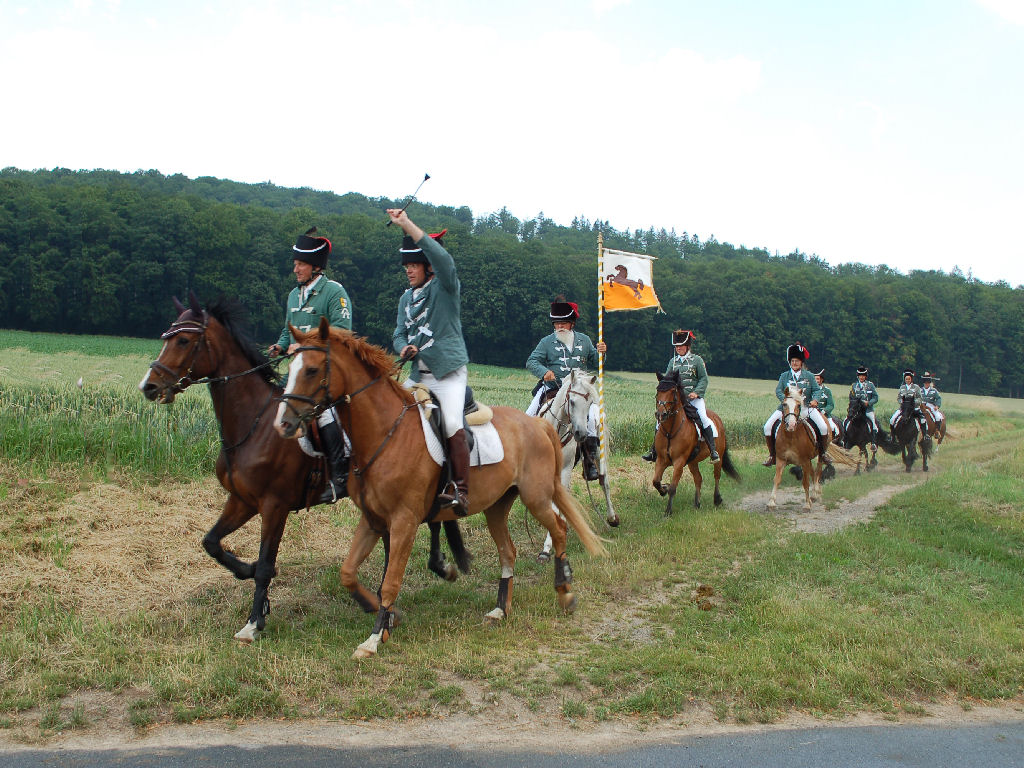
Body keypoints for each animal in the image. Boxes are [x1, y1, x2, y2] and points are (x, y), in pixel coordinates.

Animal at [138, 293, 469, 644]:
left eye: (183, 340)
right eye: (168, 336)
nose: (149, 386)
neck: (254, 424)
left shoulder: (274, 505)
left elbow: (266, 563)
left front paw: (254, 621)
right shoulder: (242, 501)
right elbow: (211, 543)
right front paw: (248, 575)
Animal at [273, 317, 607, 659]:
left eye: (311, 369)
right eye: (291, 364)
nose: (283, 423)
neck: (385, 432)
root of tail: (537, 425)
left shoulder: (403, 522)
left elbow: (391, 581)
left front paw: (375, 636)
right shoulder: (373, 520)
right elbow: (348, 573)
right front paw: (386, 616)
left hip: (537, 497)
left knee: (560, 529)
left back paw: (565, 592)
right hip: (497, 506)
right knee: (508, 551)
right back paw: (501, 609)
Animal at [534, 369, 619, 562]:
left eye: (588, 404)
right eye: (572, 401)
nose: (580, 433)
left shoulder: (564, 470)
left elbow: (556, 505)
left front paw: (547, 547)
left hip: (600, 456)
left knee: (604, 482)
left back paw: (611, 518)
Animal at [651, 371, 740, 516]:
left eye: (673, 391)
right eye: (658, 390)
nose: (661, 414)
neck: (671, 431)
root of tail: (717, 419)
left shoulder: (679, 461)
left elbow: (673, 488)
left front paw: (668, 511)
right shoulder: (661, 459)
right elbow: (656, 482)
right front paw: (664, 488)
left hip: (719, 456)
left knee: (717, 475)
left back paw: (717, 499)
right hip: (693, 461)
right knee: (698, 478)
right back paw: (697, 503)